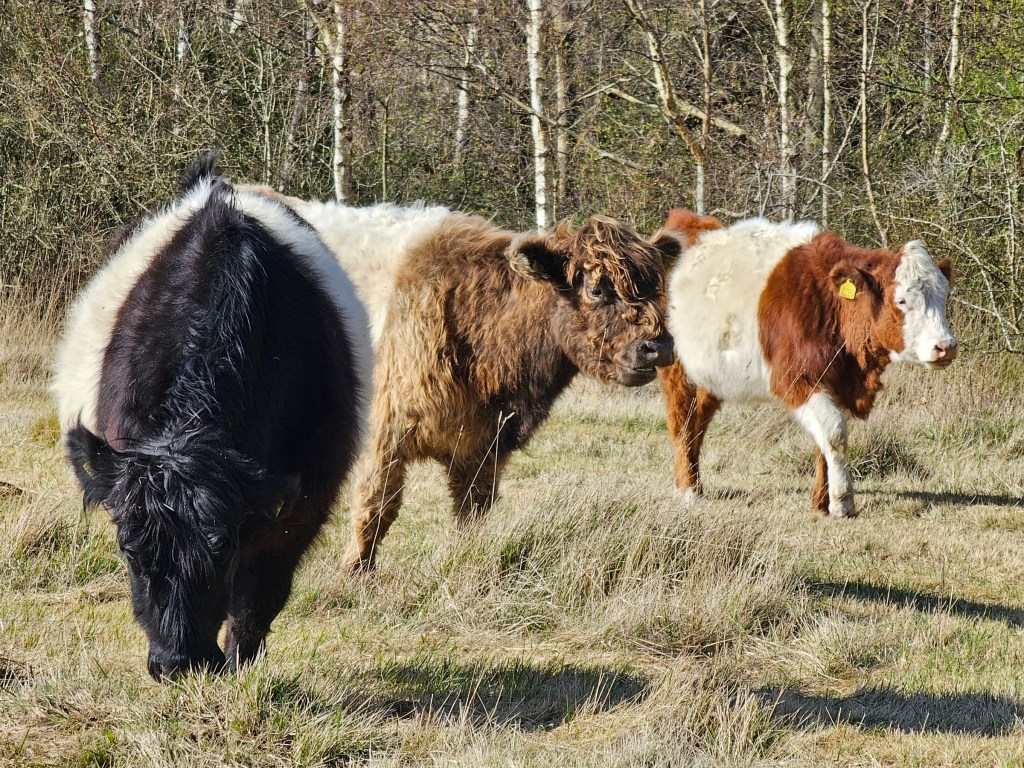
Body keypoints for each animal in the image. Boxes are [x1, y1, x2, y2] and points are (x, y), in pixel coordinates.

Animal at [51, 153, 372, 679]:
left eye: (221, 547)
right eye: (129, 550)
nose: (178, 663)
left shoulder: (305, 497)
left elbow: (259, 596)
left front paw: (241, 668)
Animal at [243, 188, 682, 571]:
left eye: (656, 286)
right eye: (596, 289)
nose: (657, 346)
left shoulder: (482, 446)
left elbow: (473, 511)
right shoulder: (383, 432)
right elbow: (375, 508)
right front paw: (355, 574)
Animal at [660, 211, 957, 517]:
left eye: (944, 296)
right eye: (902, 300)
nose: (946, 346)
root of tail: (694, 224)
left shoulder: (838, 383)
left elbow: (823, 444)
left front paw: (821, 502)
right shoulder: (795, 380)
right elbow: (835, 434)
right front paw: (842, 500)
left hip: (708, 378)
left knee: (698, 425)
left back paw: (694, 485)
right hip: (675, 370)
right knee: (683, 424)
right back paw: (688, 491)